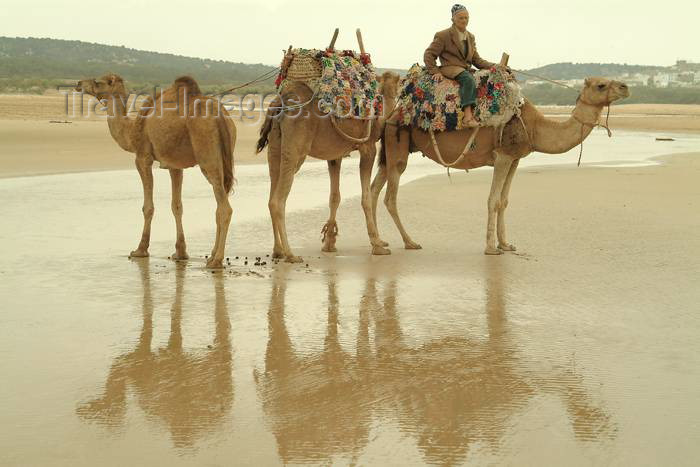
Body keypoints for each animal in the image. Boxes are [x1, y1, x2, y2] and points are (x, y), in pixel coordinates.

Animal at [75, 74, 235, 268]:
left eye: (98, 81)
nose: (78, 83)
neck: (132, 131)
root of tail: (221, 118)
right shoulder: (175, 165)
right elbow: (177, 206)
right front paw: (180, 252)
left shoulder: (142, 157)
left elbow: (148, 207)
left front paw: (140, 250)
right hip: (225, 157)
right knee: (219, 204)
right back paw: (212, 256)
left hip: (207, 155)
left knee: (224, 208)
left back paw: (216, 260)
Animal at [256, 70, 400, 264]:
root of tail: (279, 103)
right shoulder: (368, 148)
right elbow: (366, 198)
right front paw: (378, 245)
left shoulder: (334, 156)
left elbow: (334, 197)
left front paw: (329, 244)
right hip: (295, 151)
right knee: (278, 201)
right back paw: (291, 254)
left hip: (274, 148)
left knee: (271, 194)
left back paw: (278, 251)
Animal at [374, 76, 632, 256]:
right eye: (601, 85)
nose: (625, 87)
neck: (535, 126)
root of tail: (392, 113)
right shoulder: (502, 156)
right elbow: (492, 199)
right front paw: (491, 247)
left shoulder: (515, 158)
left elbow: (503, 201)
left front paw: (506, 244)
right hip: (398, 147)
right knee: (389, 197)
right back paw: (409, 242)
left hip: (391, 151)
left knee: (372, 191)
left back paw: (379, 243)